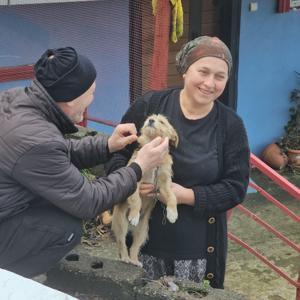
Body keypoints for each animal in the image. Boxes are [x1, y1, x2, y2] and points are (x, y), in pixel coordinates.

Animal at [112, 113, 178, 266]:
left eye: (162, 122)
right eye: (150, 118)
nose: (151, 120)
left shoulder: (163, 184)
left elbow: (172, 196)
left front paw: (172, 213)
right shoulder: (135, 180)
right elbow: (137, 200)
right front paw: (135, 215)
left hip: (142, 231)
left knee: (135, 246)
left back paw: (134, 260)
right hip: (121, 223)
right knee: (122, 242)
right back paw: (125, 258)